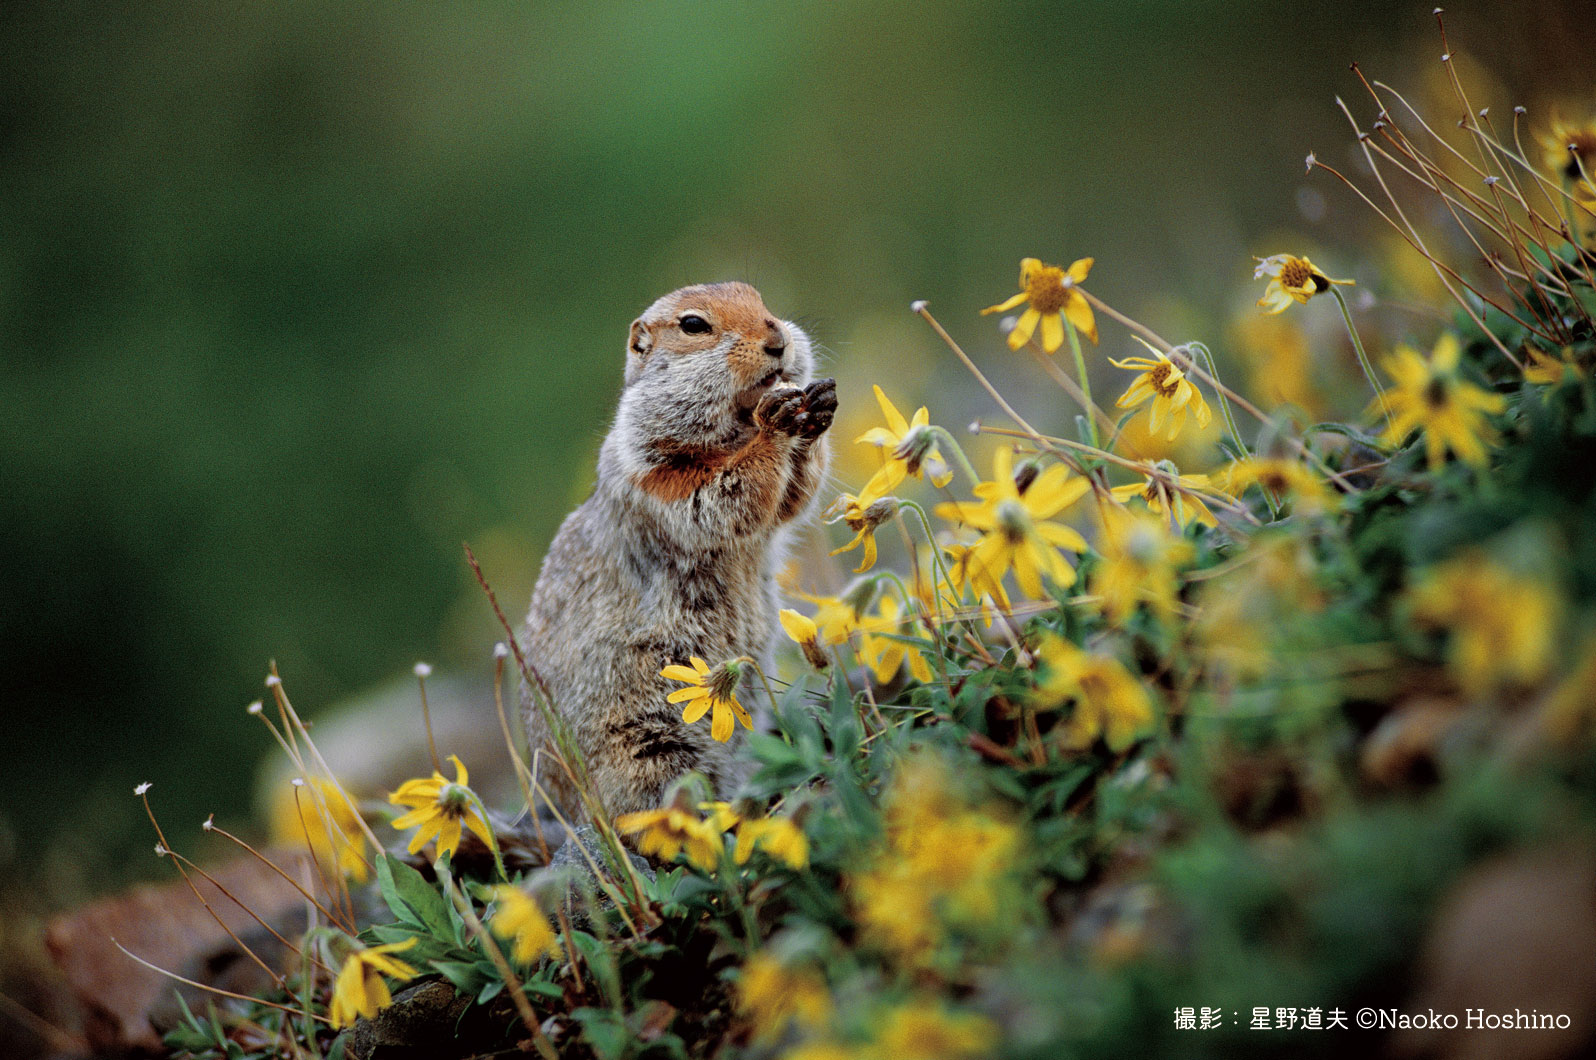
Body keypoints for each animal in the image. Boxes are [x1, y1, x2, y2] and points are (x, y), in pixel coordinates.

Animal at [520, 284, 836, 830]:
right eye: (693, 325)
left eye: (760, 300)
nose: (778, 339)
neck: (732, 426)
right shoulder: (655, 473)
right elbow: (720, 495)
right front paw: (774, 425)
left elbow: (792, 498)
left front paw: (817, 405)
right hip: (647, 748)